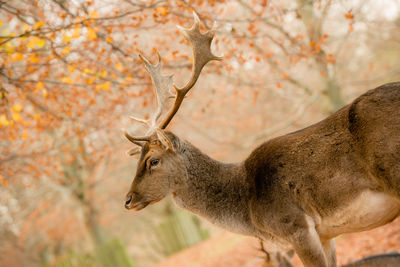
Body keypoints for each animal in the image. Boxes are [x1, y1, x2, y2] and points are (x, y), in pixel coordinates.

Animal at [123, 13, 400, 267]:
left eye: (153, 160)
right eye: (138, 159)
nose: (128, 200)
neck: (250, 210)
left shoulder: (296, 226)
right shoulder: (326, 235)